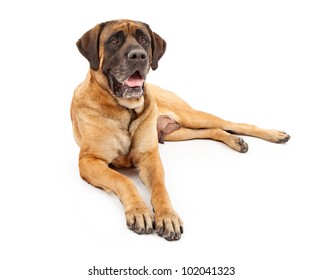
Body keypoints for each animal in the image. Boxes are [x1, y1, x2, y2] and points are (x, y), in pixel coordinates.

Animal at [71, 19, 290, 241]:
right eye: (114, 40)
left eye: (144, 40)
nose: (138, 55)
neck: (125, 109)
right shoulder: (89, 161)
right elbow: (123, 180)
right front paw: (139, 210)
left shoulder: (149, 157)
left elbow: (159, 188)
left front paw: (167, 216)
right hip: (178, 132)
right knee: (212, 130)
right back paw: (237, 141)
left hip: (189, 116)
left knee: (230, 124)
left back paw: (273, 135)